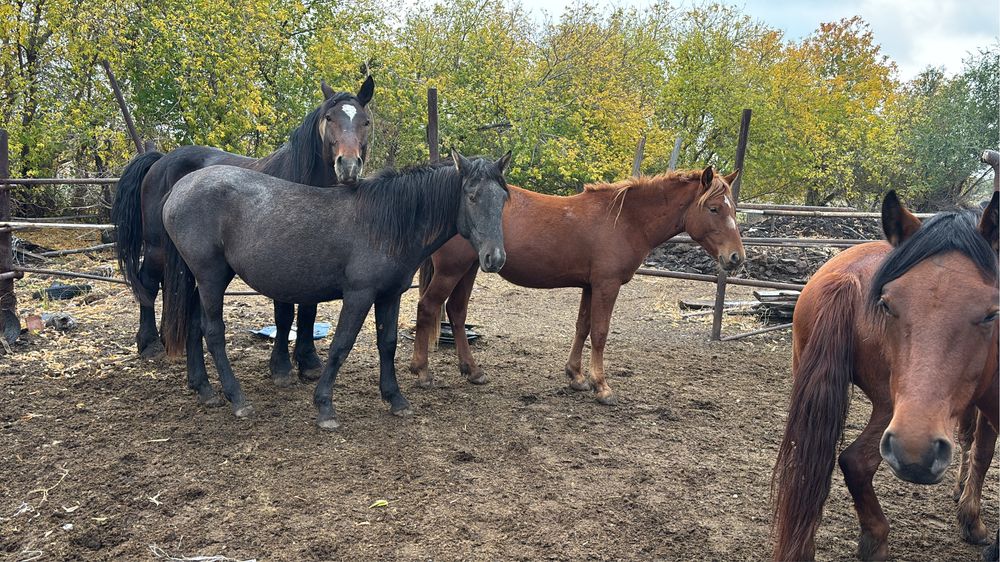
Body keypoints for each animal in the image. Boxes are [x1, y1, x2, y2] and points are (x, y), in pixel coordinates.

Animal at [112, 77, 374, 386]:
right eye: (329, 118)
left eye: (365, 121)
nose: (348, 166)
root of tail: (160, 159)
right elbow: (285, 314)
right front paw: (281, 366)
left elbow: (308, 311)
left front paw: (309, 362)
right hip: (156, 248)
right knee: (149, 284)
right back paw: (149, 344)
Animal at [159, 151, 511, 429]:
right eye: (472, 196)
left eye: (503, 200)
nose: (494, 258)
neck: (386, 225)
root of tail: (180, 187)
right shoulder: (358, 295)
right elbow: (341, 345)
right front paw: (325, 406)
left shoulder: (390, 295)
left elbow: (388, 344)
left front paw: (395, 399)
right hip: (211, 276)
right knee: (213, 331)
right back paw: (237, 399)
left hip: (204, 278)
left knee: (194, 326)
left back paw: (205, 391)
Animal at [410, 166, 745, 404]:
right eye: (714, 208)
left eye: (734, 209)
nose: (736, 257)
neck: (624, 220)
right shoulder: (607, 285)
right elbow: (600, 333)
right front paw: (602, 386)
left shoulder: (590, 286)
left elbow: (582, 327)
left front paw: (576, 376)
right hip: (451, 270)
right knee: (427, 307)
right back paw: (422, 371)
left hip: (468, 269)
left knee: (456, 312)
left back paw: (473, 370)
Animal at [771, 190, 999, 561]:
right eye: (887, 304)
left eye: (992, 314)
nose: (918, 451)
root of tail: (846, 276)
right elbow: (982, 452)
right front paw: (973, 521)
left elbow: (971, 442)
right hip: (889, 406)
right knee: (856, 461)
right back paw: (876, 539)